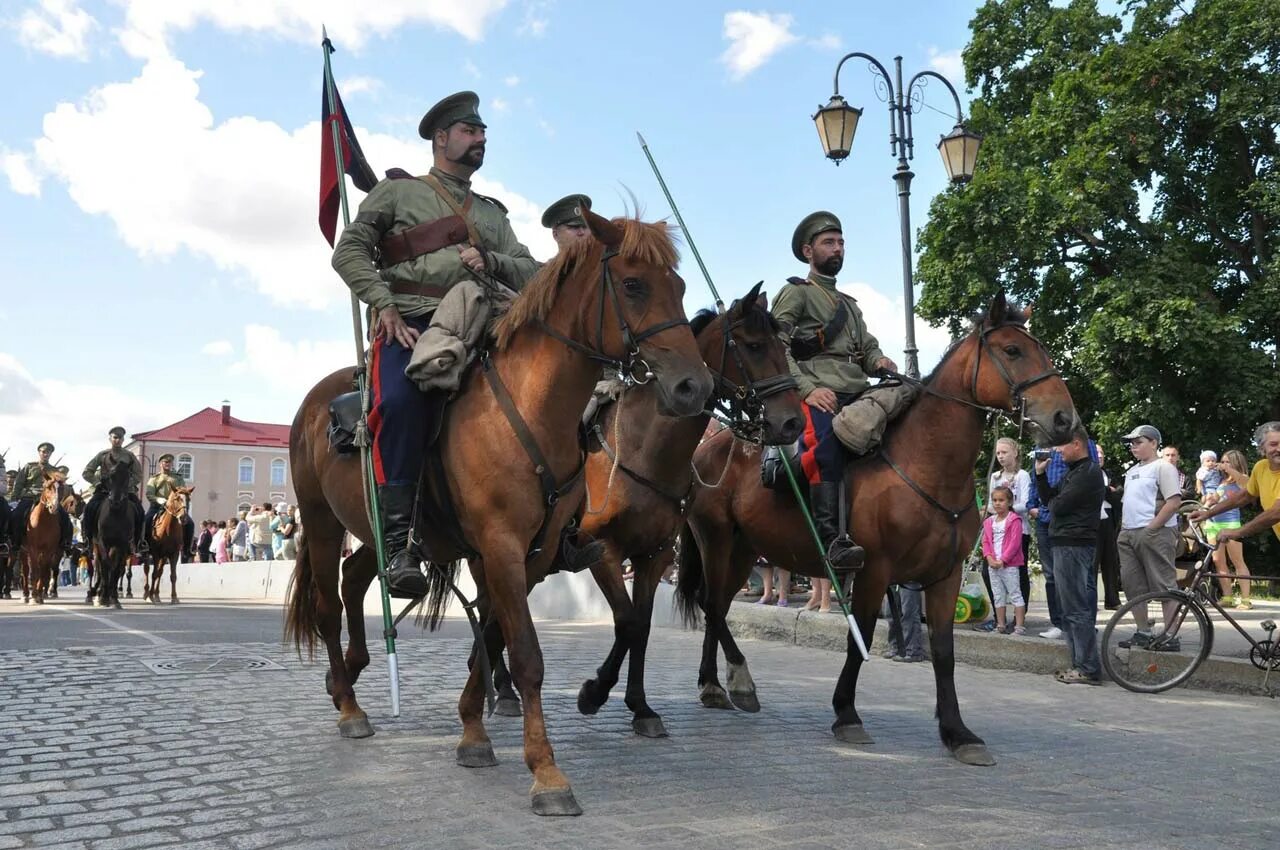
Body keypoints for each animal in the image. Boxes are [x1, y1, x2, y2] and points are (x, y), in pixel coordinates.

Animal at [20, 471, 67, 604]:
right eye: (48, 487)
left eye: (61, 489)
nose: (54, 507)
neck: (44, 522)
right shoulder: (33, 549)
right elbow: (35, 571)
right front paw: (34, 595)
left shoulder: (49, 550)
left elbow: (44, 570)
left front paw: (39, 595)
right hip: (23, 551)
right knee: (25, 570)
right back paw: (26, 594)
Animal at [90, 458, 141, 611]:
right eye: (110, 476)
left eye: (127, 477)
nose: (115, 501)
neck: (116, 514)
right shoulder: (103, 542)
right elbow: (106, 566)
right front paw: (103, 597)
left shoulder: (123, 545)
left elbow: (118, 569)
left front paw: (114, 598)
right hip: (96, 546)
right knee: (100, 567)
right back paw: (96, 593)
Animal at [284, 208, 716, 814]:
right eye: (633, 285)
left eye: (677, 287)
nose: (693, 387)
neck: (533, 408)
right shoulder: (502, 545)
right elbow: (527, 652)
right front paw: (548, 774)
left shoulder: (531, 553)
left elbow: (491, 636)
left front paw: (473, 730)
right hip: (321, 522)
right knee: (326, 606)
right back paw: (349, 706)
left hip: (373, 530)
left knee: (354, 578)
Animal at [483, 286, 803, 737]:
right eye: (754, 346)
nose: (792, 422)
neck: (644, 450)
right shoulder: (603, 551)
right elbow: (628, 621)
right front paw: (595, 692)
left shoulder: (654, 556)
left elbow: (643, 625)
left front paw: (640, 706)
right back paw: (504, 689)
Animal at [675, 295, 1075, 768]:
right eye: (1013, 350)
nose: (1064, 418)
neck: (924, 462)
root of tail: (708, 448)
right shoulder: (873, 571)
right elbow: (861, 637)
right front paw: (846, 713)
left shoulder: (945, 577)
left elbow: (943, 651)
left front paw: (957, 732)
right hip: (716, 541)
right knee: (712, 606)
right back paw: (735, 681)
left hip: (743, 551)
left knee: (716, 606)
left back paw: (714, 685)